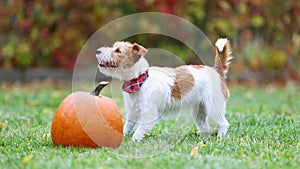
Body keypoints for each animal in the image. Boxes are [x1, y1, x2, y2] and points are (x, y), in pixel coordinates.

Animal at [96, 38, 232, 141]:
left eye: (118, 51)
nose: (97, 51)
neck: (139, 79)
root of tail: (217, 70)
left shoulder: (149, 113)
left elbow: (139, 130)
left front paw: (135, 140)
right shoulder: (132, 112)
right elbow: (128, 126)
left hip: (214, 107)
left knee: (224, 123)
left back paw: (220, 136)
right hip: (199, 110)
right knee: (204, 126)